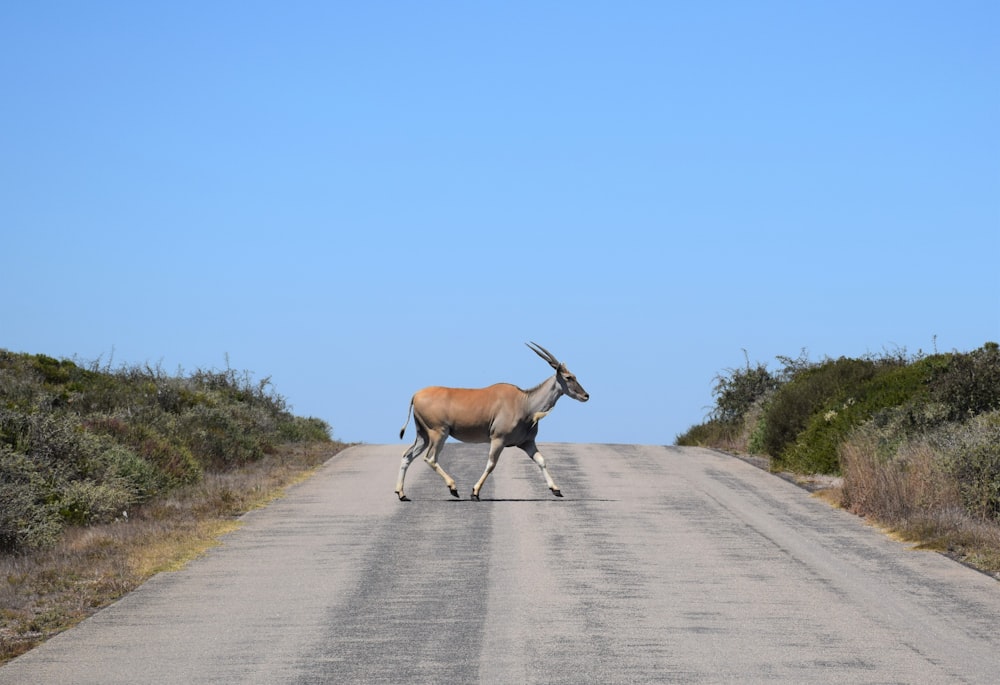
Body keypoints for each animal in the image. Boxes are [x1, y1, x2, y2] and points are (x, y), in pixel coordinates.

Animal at [396, 344, 588, 500]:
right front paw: (474, 492)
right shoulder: (498, 439)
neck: (525, 403)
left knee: (407, 456)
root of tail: (416, 395)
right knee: (430, 458)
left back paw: (401, 493)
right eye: (569, 377)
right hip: (439, 433)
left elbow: (541, 460)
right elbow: (491, 464)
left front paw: (556, 489)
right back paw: (453, 487)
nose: (586, 395)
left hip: (423, 435)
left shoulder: (527, 443)